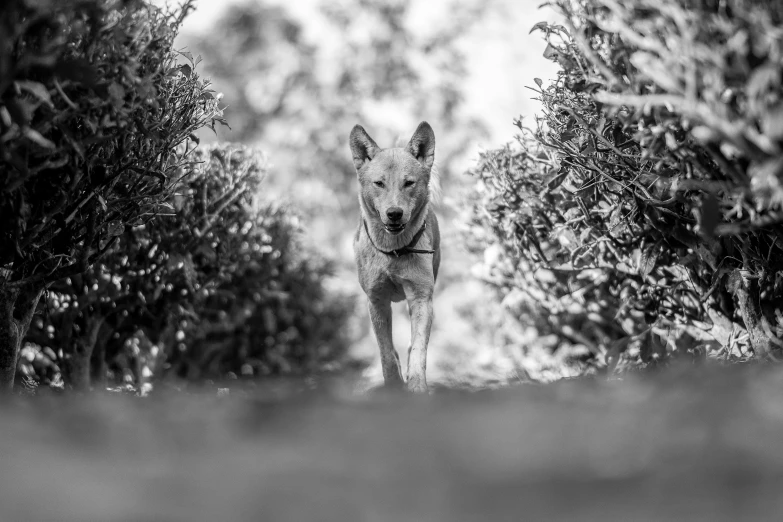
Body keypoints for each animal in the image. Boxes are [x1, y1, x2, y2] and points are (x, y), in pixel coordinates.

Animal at [350, 122, 440, 390]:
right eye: (379, 183)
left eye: (408, 183)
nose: (394, 213)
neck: (394, 252)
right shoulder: (377, 300)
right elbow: (386, 352)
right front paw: (393, 387)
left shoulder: (421, 298)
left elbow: (418, 349)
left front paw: (417, 387)